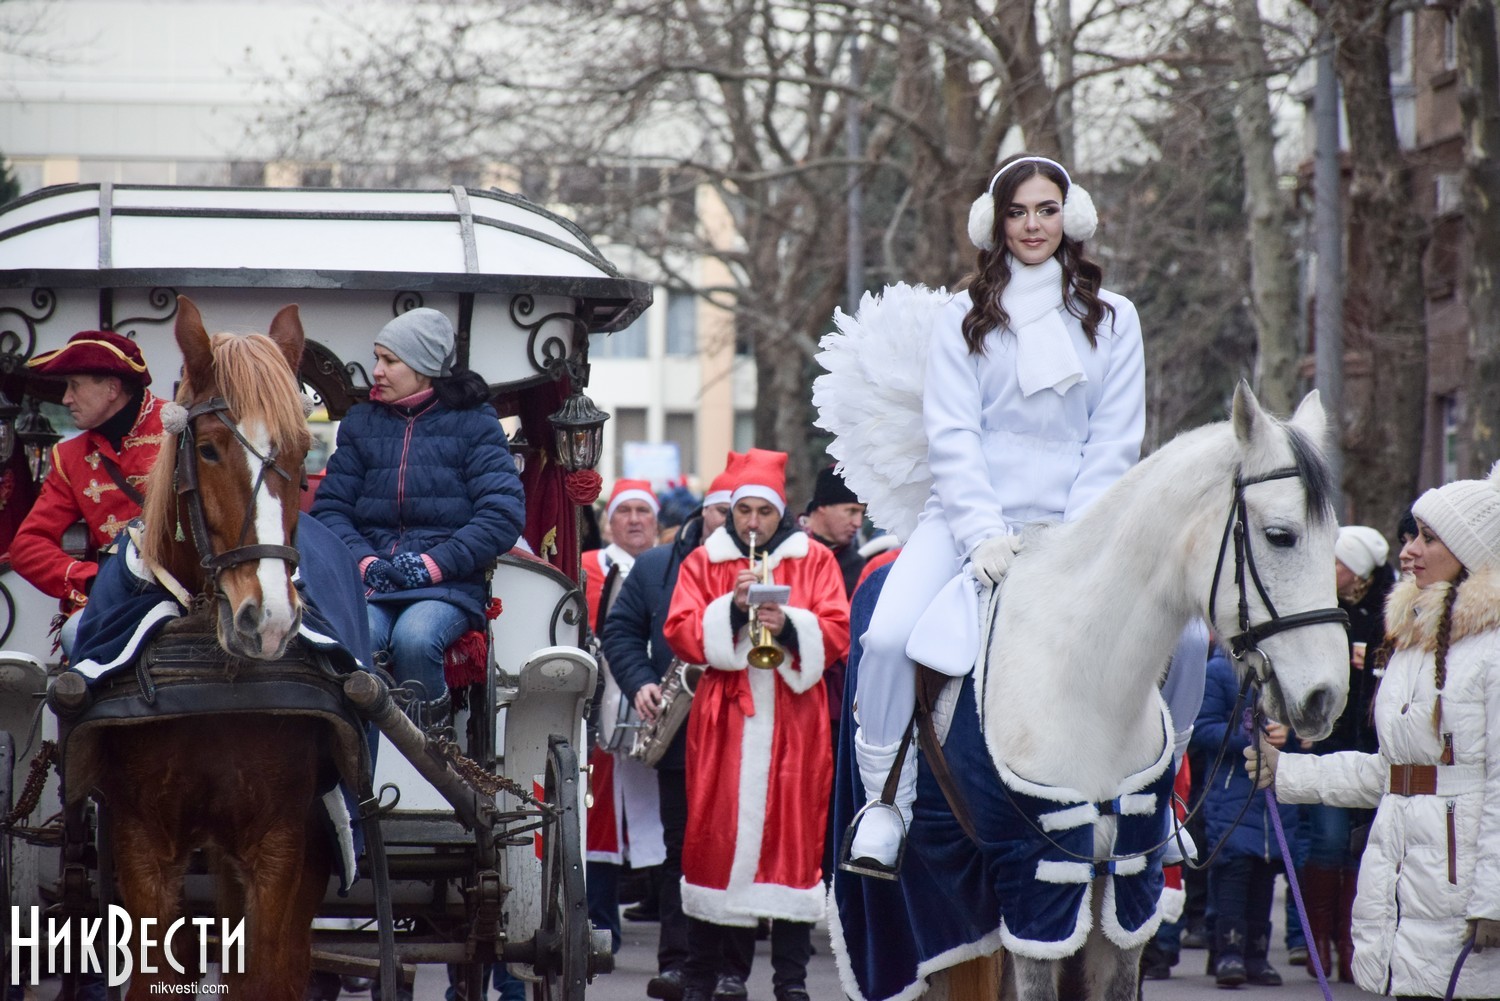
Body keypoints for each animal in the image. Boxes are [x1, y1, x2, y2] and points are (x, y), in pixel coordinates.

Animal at [60, 297, 333, 1001]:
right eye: (208, 450)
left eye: (302, 450)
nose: (268, 619)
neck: (206, 674)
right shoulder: (142, 845)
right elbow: (155, 968)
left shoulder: (278, 845)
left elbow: (266, 974)